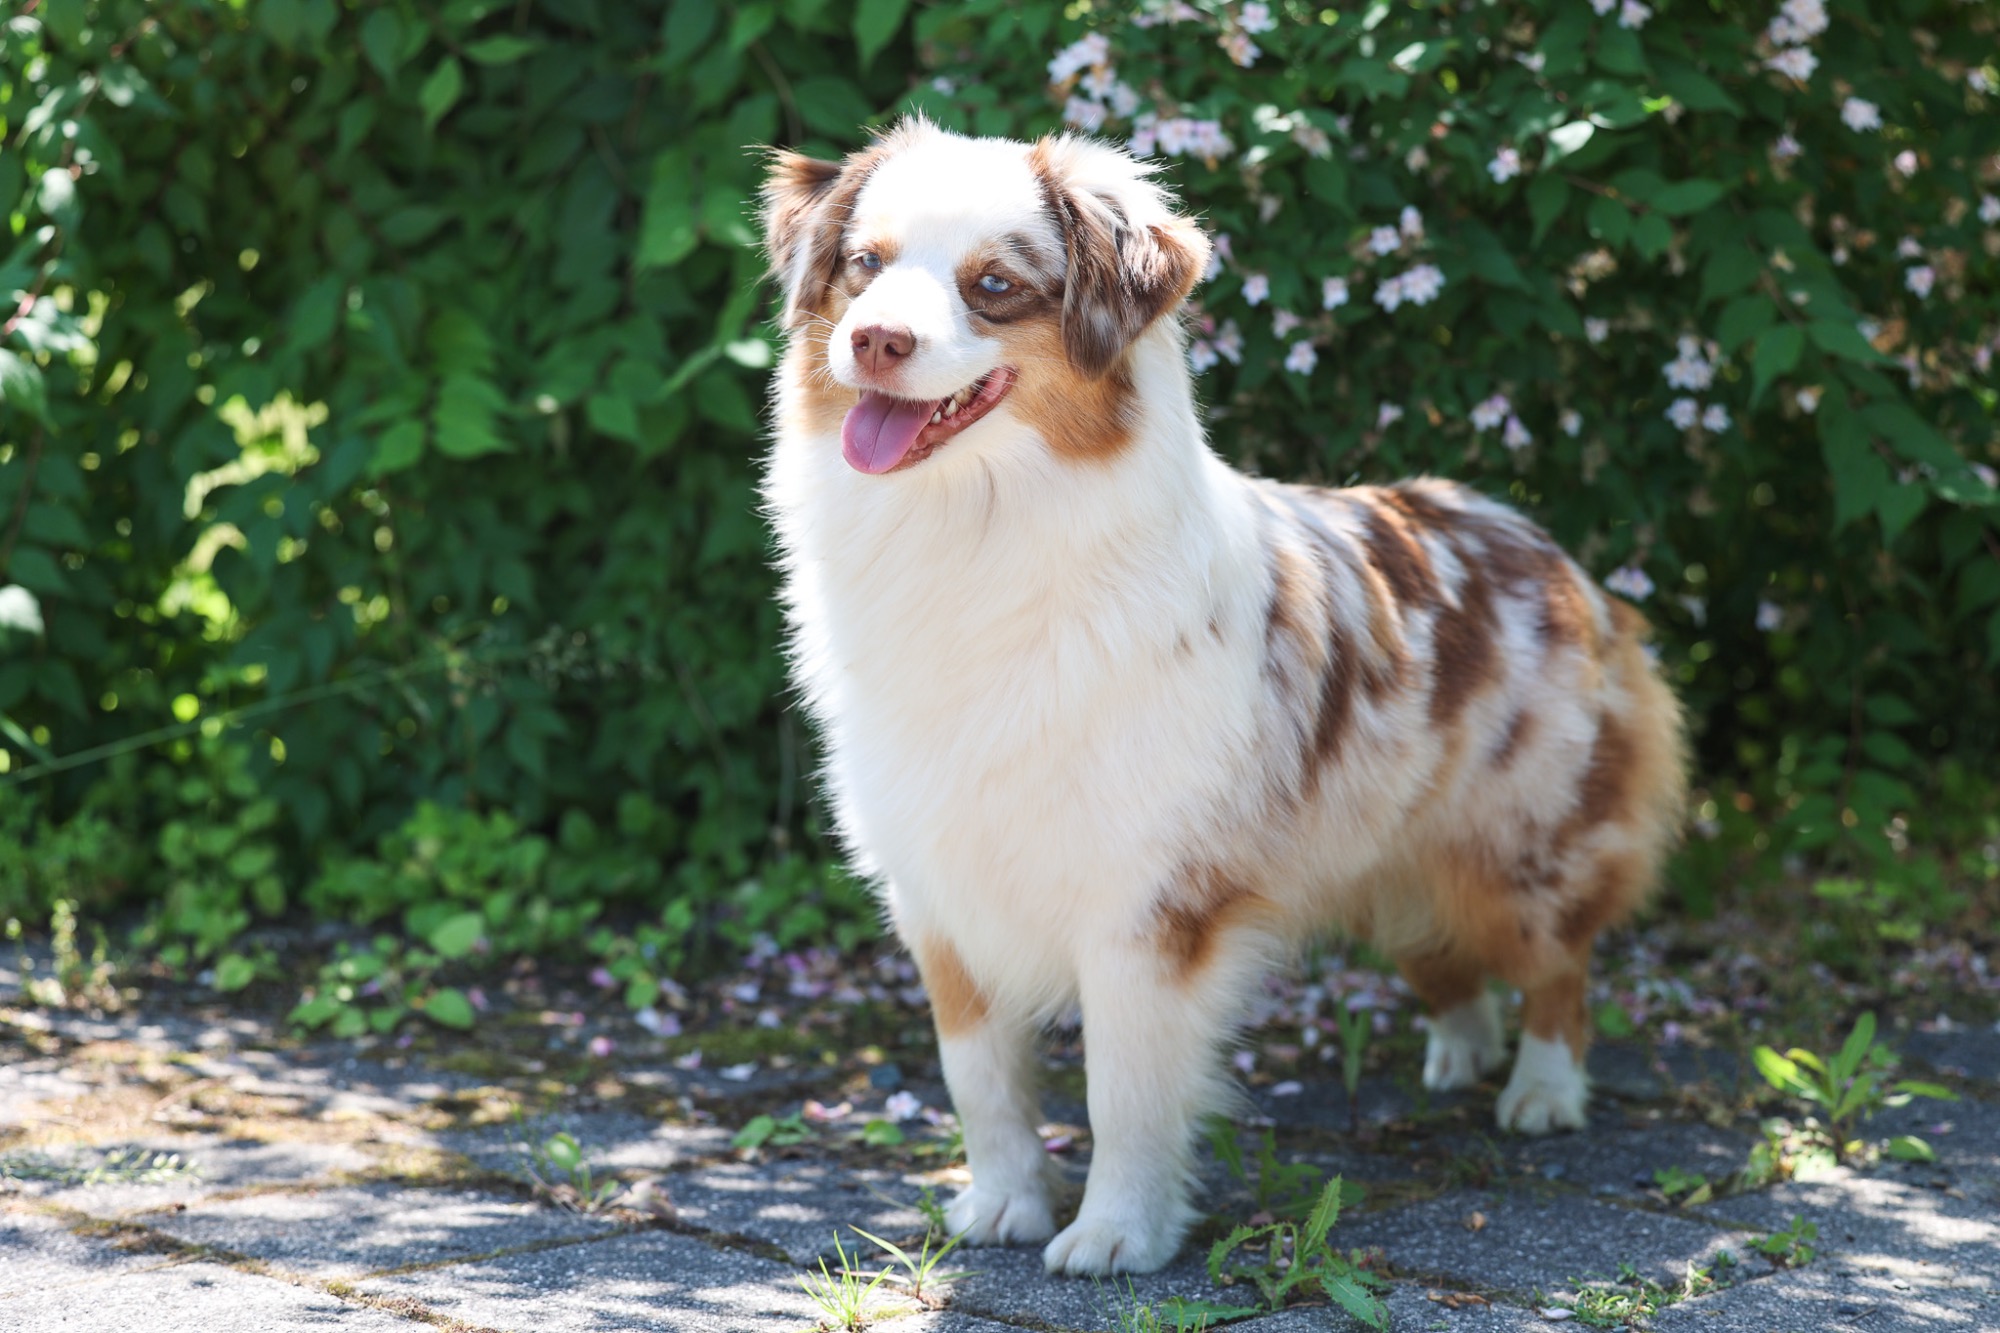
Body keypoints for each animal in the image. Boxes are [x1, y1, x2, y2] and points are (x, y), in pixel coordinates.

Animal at [759, 119, 1686, 1276]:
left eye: (994, 285)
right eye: (863, 265)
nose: (876, 339)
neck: (973, 531)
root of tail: (1540, 544)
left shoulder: (1145, 902)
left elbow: (1123, 1088)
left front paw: (1115, 1233)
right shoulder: (940, 885)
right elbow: (979, 1077)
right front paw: (1004, 1206)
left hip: (1523, 839)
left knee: (1559, 962)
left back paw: (1541, 1090)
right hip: (1384, 849)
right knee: (1443, 960)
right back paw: (1458, 1056)